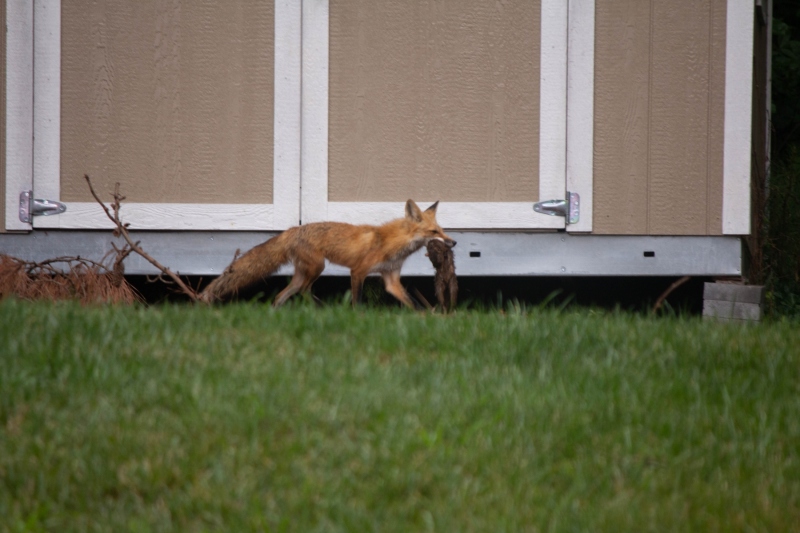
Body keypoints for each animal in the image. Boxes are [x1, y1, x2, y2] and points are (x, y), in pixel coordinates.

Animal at [200, 200, 456, 308]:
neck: (393, 244)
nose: (453, 242)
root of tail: (291, 230)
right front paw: (357, 317)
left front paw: (428, 317)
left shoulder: (391, 279)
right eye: (434, 232)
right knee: (303, 291)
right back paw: (324, 309)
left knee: (282, 295)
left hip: (303, 273)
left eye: (443, 230)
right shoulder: (358, 271)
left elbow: (412, 303)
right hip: (318, 267)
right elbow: (357, 301)